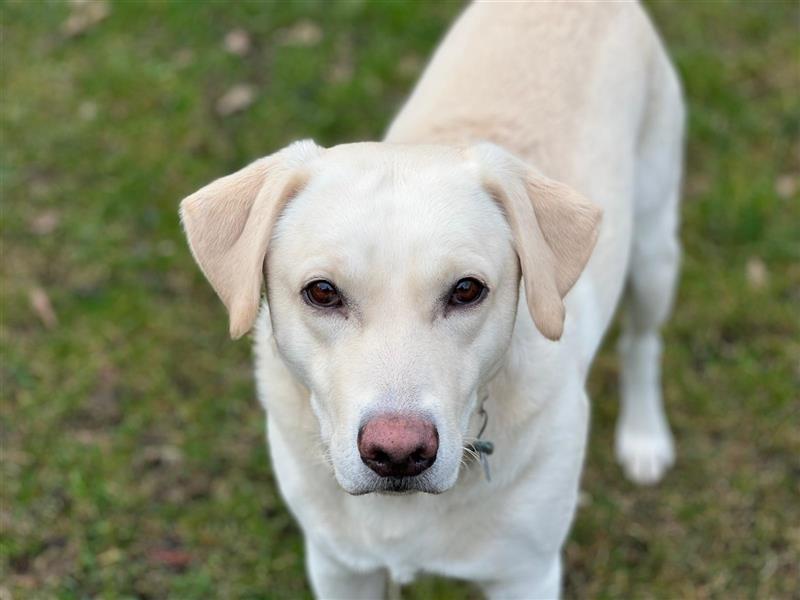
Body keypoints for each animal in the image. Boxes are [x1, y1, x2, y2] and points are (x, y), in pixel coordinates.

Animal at [180, 2, 680, 596]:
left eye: (466, 290)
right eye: (322, 292)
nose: (399, 454)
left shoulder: (527, 572)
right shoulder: (338, 565)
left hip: (653, 250)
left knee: (643, 341)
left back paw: (644, 437)